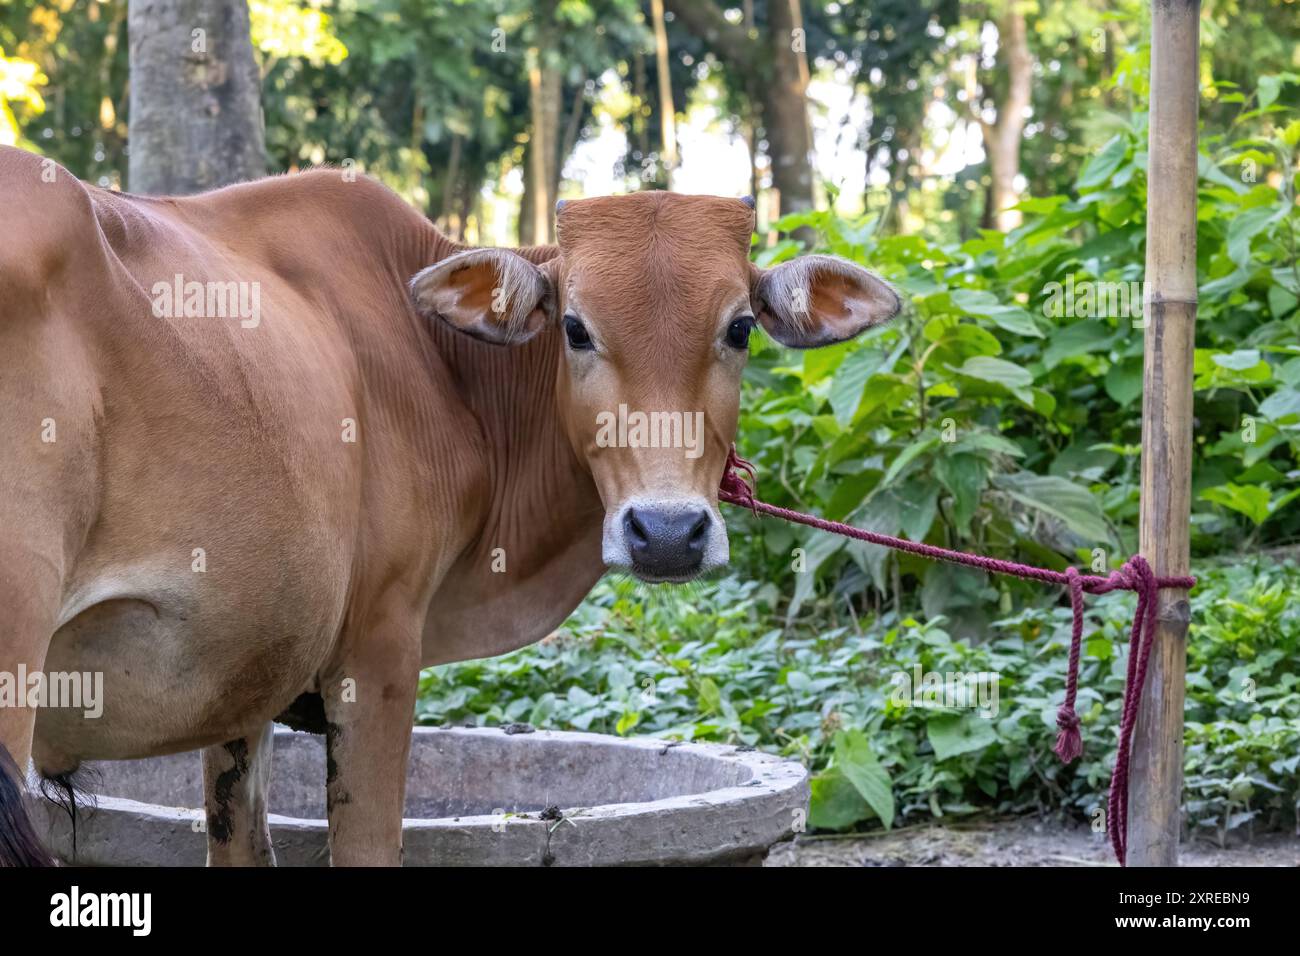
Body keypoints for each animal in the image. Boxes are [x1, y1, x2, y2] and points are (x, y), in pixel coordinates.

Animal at [0, 143, 899, 868]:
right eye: (575, 328)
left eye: (741, 327)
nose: (668, 534)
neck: (446, 369)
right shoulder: (378, 652)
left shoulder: (246, 679)